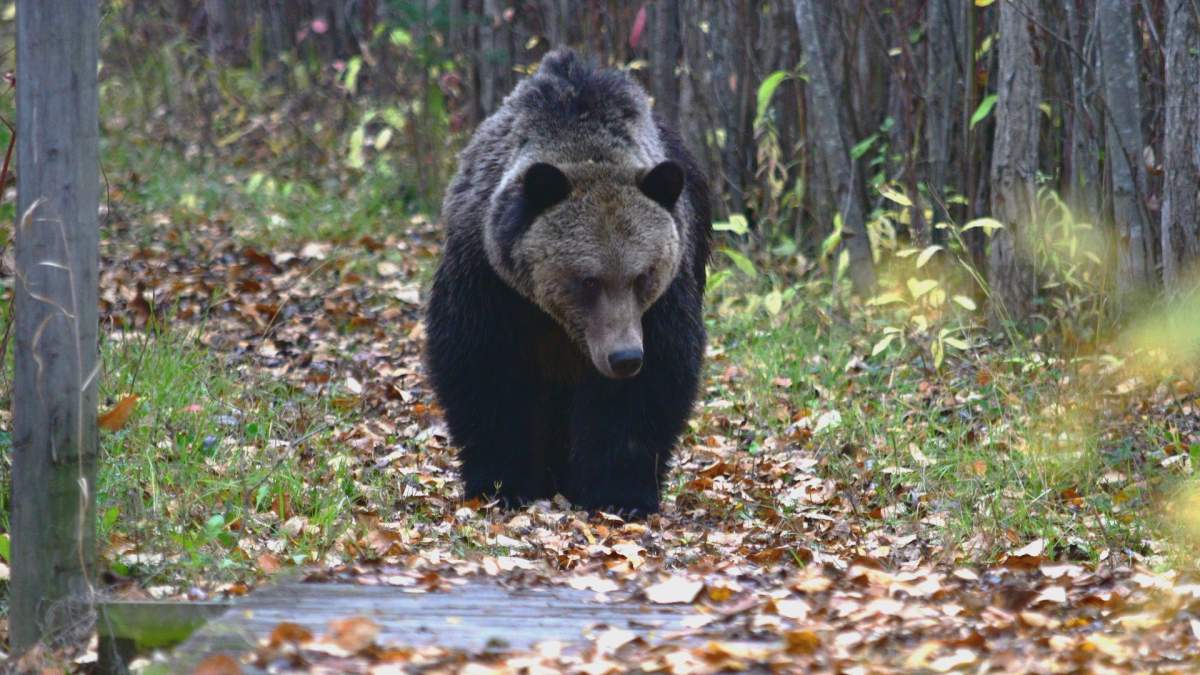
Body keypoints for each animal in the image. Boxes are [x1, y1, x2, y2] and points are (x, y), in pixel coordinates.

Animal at [424, 49, 711, 516]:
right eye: (588, 280)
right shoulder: (489, 279)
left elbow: (650, 385)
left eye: (643, 275)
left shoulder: (665, 299)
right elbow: (485, 367)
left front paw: (621, 491)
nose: (624, 357)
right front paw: (504, 482)